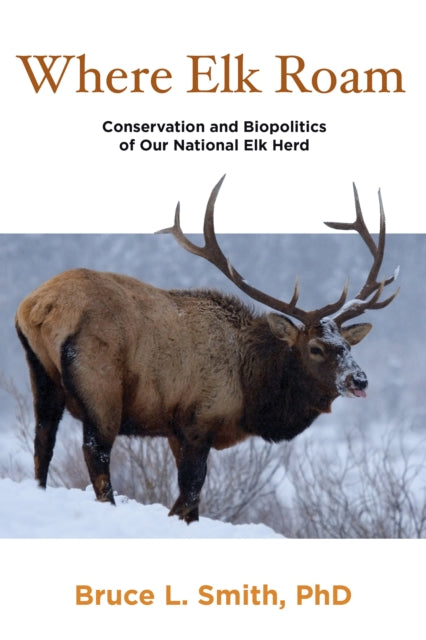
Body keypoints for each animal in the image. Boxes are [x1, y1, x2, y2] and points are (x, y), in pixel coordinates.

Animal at [15, 176, 398, 524]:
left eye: (346, 345)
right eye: (316, 348)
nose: (359, 379)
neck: (250, 391)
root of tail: (38, 307)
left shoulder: (175, 431)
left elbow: (191, 500)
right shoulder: (200, 419)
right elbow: (190, 492)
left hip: (41, 374)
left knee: (43, 441)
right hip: (100, 383)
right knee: (96, 452)